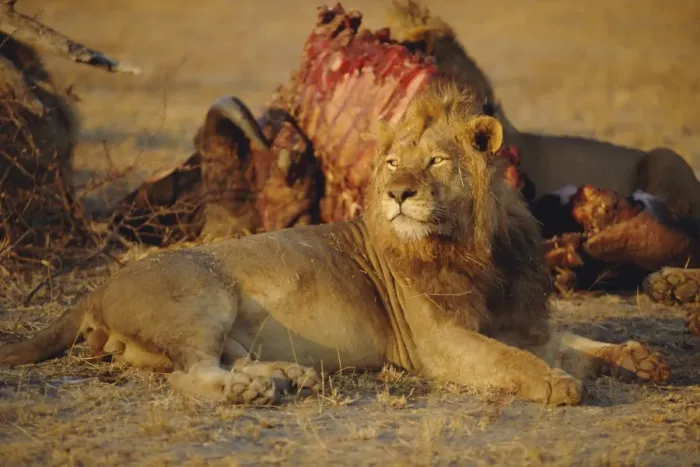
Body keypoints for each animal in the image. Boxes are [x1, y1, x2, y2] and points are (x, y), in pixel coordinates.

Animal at [0, 82, 670, 406]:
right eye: (393, 162)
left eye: (435, 161)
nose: (399, 193)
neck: (477, 248)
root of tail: (96, 290)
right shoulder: (437, 343)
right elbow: (515, 361)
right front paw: (557, 385)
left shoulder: (519, 322)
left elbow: (572, 341)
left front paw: (638, 358)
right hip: (203, 293)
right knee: (190, 374)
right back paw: (251, 391)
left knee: (218, 359)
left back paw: (284, 375)